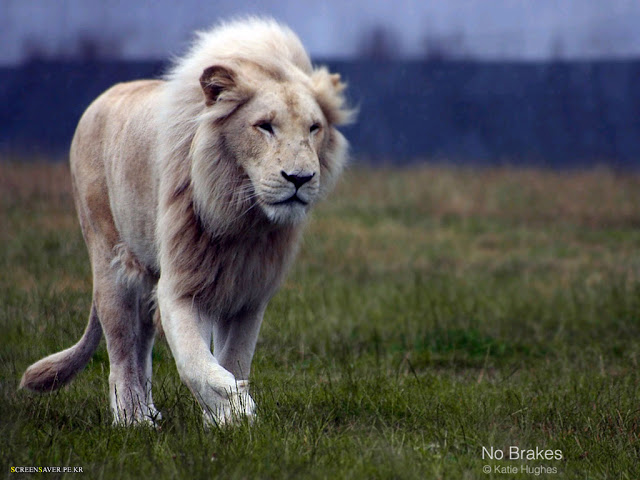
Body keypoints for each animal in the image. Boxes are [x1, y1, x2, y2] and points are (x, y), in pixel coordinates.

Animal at [20, 16, 352, 426]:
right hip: (110, 260)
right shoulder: (181, 284)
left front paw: (228, 416)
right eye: (264, 126)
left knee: (141, 343)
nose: (300, 178)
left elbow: (235, 357)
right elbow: (195, 360)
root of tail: (102, 98)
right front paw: (233, 404)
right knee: (121, 349)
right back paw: (132, 420)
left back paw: (149, 411)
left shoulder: (249, 293)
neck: (242, 216)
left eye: (314, 128)